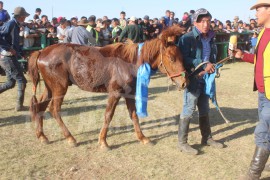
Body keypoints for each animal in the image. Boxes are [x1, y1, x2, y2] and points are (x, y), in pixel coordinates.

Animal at [28, 26, 188, 150]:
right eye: (172, 58)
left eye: (182, 56)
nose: (184, 83)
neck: (128, 62)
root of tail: (41, 52)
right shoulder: (115, 93)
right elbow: (108, 115)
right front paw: (103, 142)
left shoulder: (130, 93)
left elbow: (134, 115)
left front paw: (142, 138)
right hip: (59, 88)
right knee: (54, 110)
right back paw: (70, 138)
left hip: (50, 88)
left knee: (40, 106)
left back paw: (41, 136)